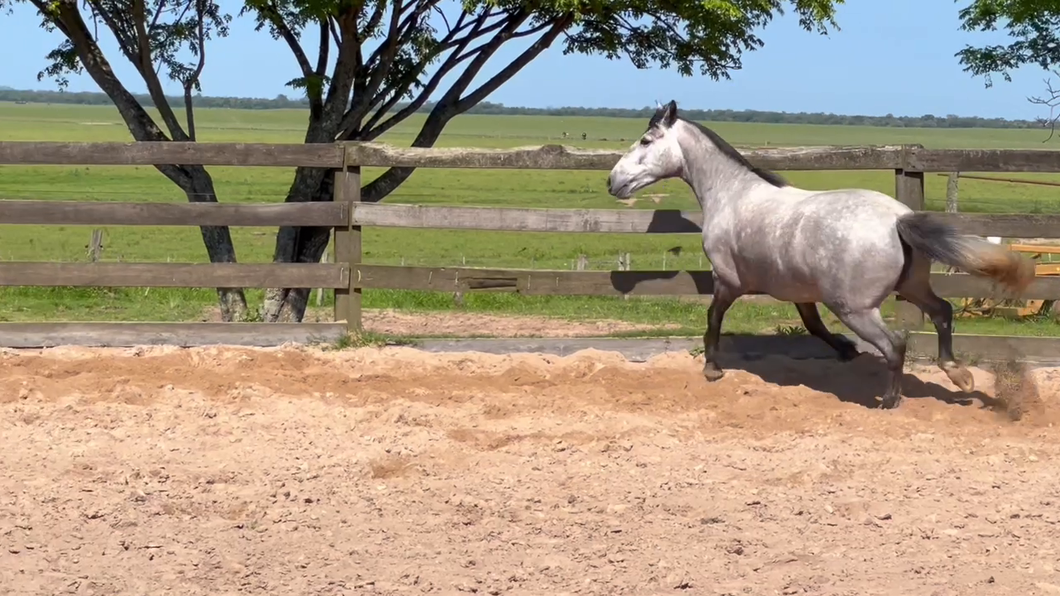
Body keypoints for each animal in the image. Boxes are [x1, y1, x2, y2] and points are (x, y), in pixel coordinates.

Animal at [610, 100, 1030, 407]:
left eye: (646, 141)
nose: (613, 181)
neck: (731, 195)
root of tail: (899, 219)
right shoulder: (801, 292)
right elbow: (813, 327)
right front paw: (846, 351)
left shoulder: (727, 280)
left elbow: (713, 318)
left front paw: (712, 370)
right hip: (911, 287)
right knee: (943, 312)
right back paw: (958, 374)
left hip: (856, 308)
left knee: (895, 343)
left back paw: (889, 400)